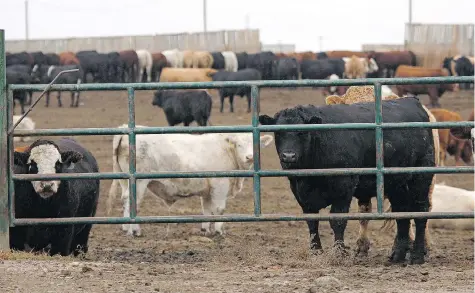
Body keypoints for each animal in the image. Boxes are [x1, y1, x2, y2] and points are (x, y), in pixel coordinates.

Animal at [106, 124, 274, 236]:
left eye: (255, 144)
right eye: (239, 144)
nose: (249, 157)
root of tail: (126, 129)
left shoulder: (207, 190)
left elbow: (207, 210)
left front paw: (205, 230)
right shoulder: (220, 183)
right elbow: (219, 209)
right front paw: (219, 231)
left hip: (125, 180)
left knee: (125, 199)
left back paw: (125, 228)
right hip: (139, 182)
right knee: (132, 201)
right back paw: (134, 230)